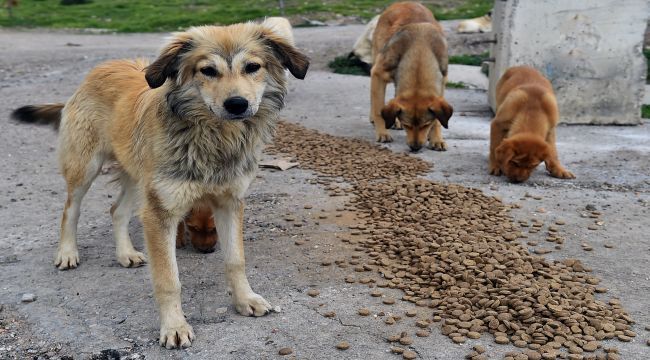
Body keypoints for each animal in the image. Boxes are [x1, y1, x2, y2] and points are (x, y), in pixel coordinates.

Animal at [10, 23, 308, 348]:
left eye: (252, 67)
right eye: (208, 70)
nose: (237, 104)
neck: (214, 138)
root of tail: (100, 68)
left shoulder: (229, 202)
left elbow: (235, 260)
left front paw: (245, 300)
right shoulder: (160, 213)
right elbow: (168, 279)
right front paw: (174, 326)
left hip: (136, 175)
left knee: (116, 210)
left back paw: (125, 253)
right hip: (85, 166)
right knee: (70, 209)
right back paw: (67, 253)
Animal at [368, 1, 454, 152]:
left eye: (425, 125)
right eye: (407, 125)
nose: (415, 148)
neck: (419, 52)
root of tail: (404, 2)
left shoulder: (442, 82)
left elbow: (437, 120)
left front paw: (436, 138)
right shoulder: (378, 73)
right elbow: (379, 109)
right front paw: (383, 132)